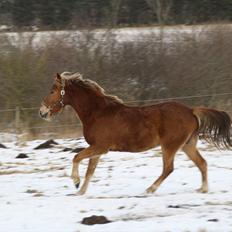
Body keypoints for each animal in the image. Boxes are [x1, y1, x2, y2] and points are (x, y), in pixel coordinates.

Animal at [39, 71, 231, 195]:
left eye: (52, 91)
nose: (42, 112)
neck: (98, 113)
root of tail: (191, 110)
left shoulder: (100, 147)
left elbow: (76, 157)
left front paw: (76, 182)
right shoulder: (97, 149)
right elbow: (90, 170)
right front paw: (81, 192)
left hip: (170, 146)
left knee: (168, 168)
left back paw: (149, 189)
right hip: (187, 145)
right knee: (202, 163)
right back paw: (203, 189)